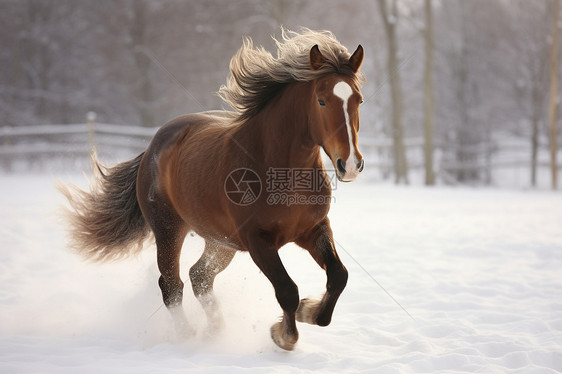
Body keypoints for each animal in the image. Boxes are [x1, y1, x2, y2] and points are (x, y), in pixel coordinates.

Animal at [60, 28, 364, 350]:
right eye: (321, 100)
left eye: (358, 99)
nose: (350, 164)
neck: (279, 170)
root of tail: (154, 144)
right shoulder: (258, 241)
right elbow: (286, 289)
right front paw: (283, 335)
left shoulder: (313, 229)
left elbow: (338, 276)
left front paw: (309, 311)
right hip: (169, 230)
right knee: (172, 285)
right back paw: (186, 335)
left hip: (220, 242)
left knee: (199, 277)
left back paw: (214, 331)